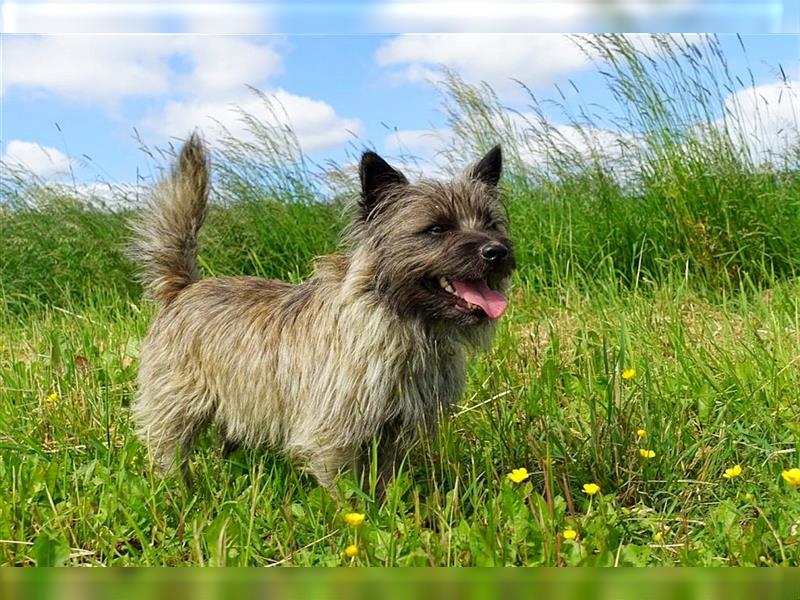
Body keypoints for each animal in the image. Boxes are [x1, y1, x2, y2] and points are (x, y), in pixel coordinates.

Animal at [128, 136, 516, 492]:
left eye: (491, 224)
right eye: (437, 228)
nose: (497, 251)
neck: (404, 321)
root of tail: (183, 288)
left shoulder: (391, 431)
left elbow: (384, 479)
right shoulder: (334, 433)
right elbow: (346, 489)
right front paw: (360, 516)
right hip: (178, 405)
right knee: (167, 448)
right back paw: (179, 490)